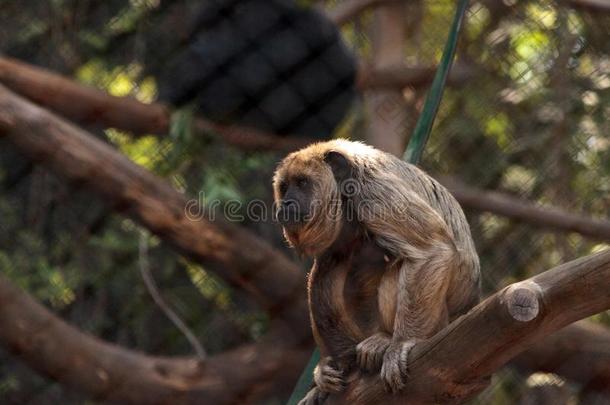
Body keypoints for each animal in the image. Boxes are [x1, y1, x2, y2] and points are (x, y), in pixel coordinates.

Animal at [272, 140, 480, 404]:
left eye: (302, 183)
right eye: (284, 187)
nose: (286, 203)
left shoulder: (372, 190)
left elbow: (432, 250)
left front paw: (403, 343)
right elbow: (330, 262)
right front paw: (329, 372)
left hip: (439, 321)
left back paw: (385, 341)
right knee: (330, 265)